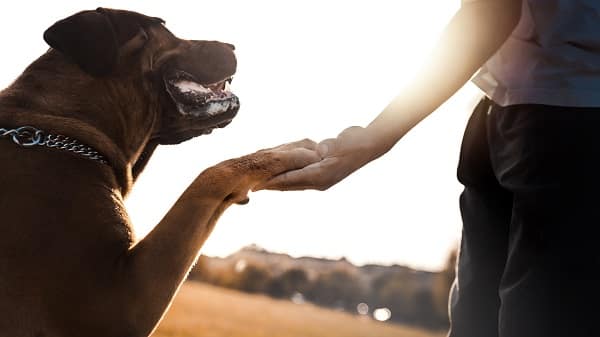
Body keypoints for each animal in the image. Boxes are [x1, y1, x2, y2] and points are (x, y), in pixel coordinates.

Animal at [0, 7, 318, 336]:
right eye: (165, 29)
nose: (232, 46)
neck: (57, 128)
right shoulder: (122, 300)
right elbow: (209, 176)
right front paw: (287, 152)